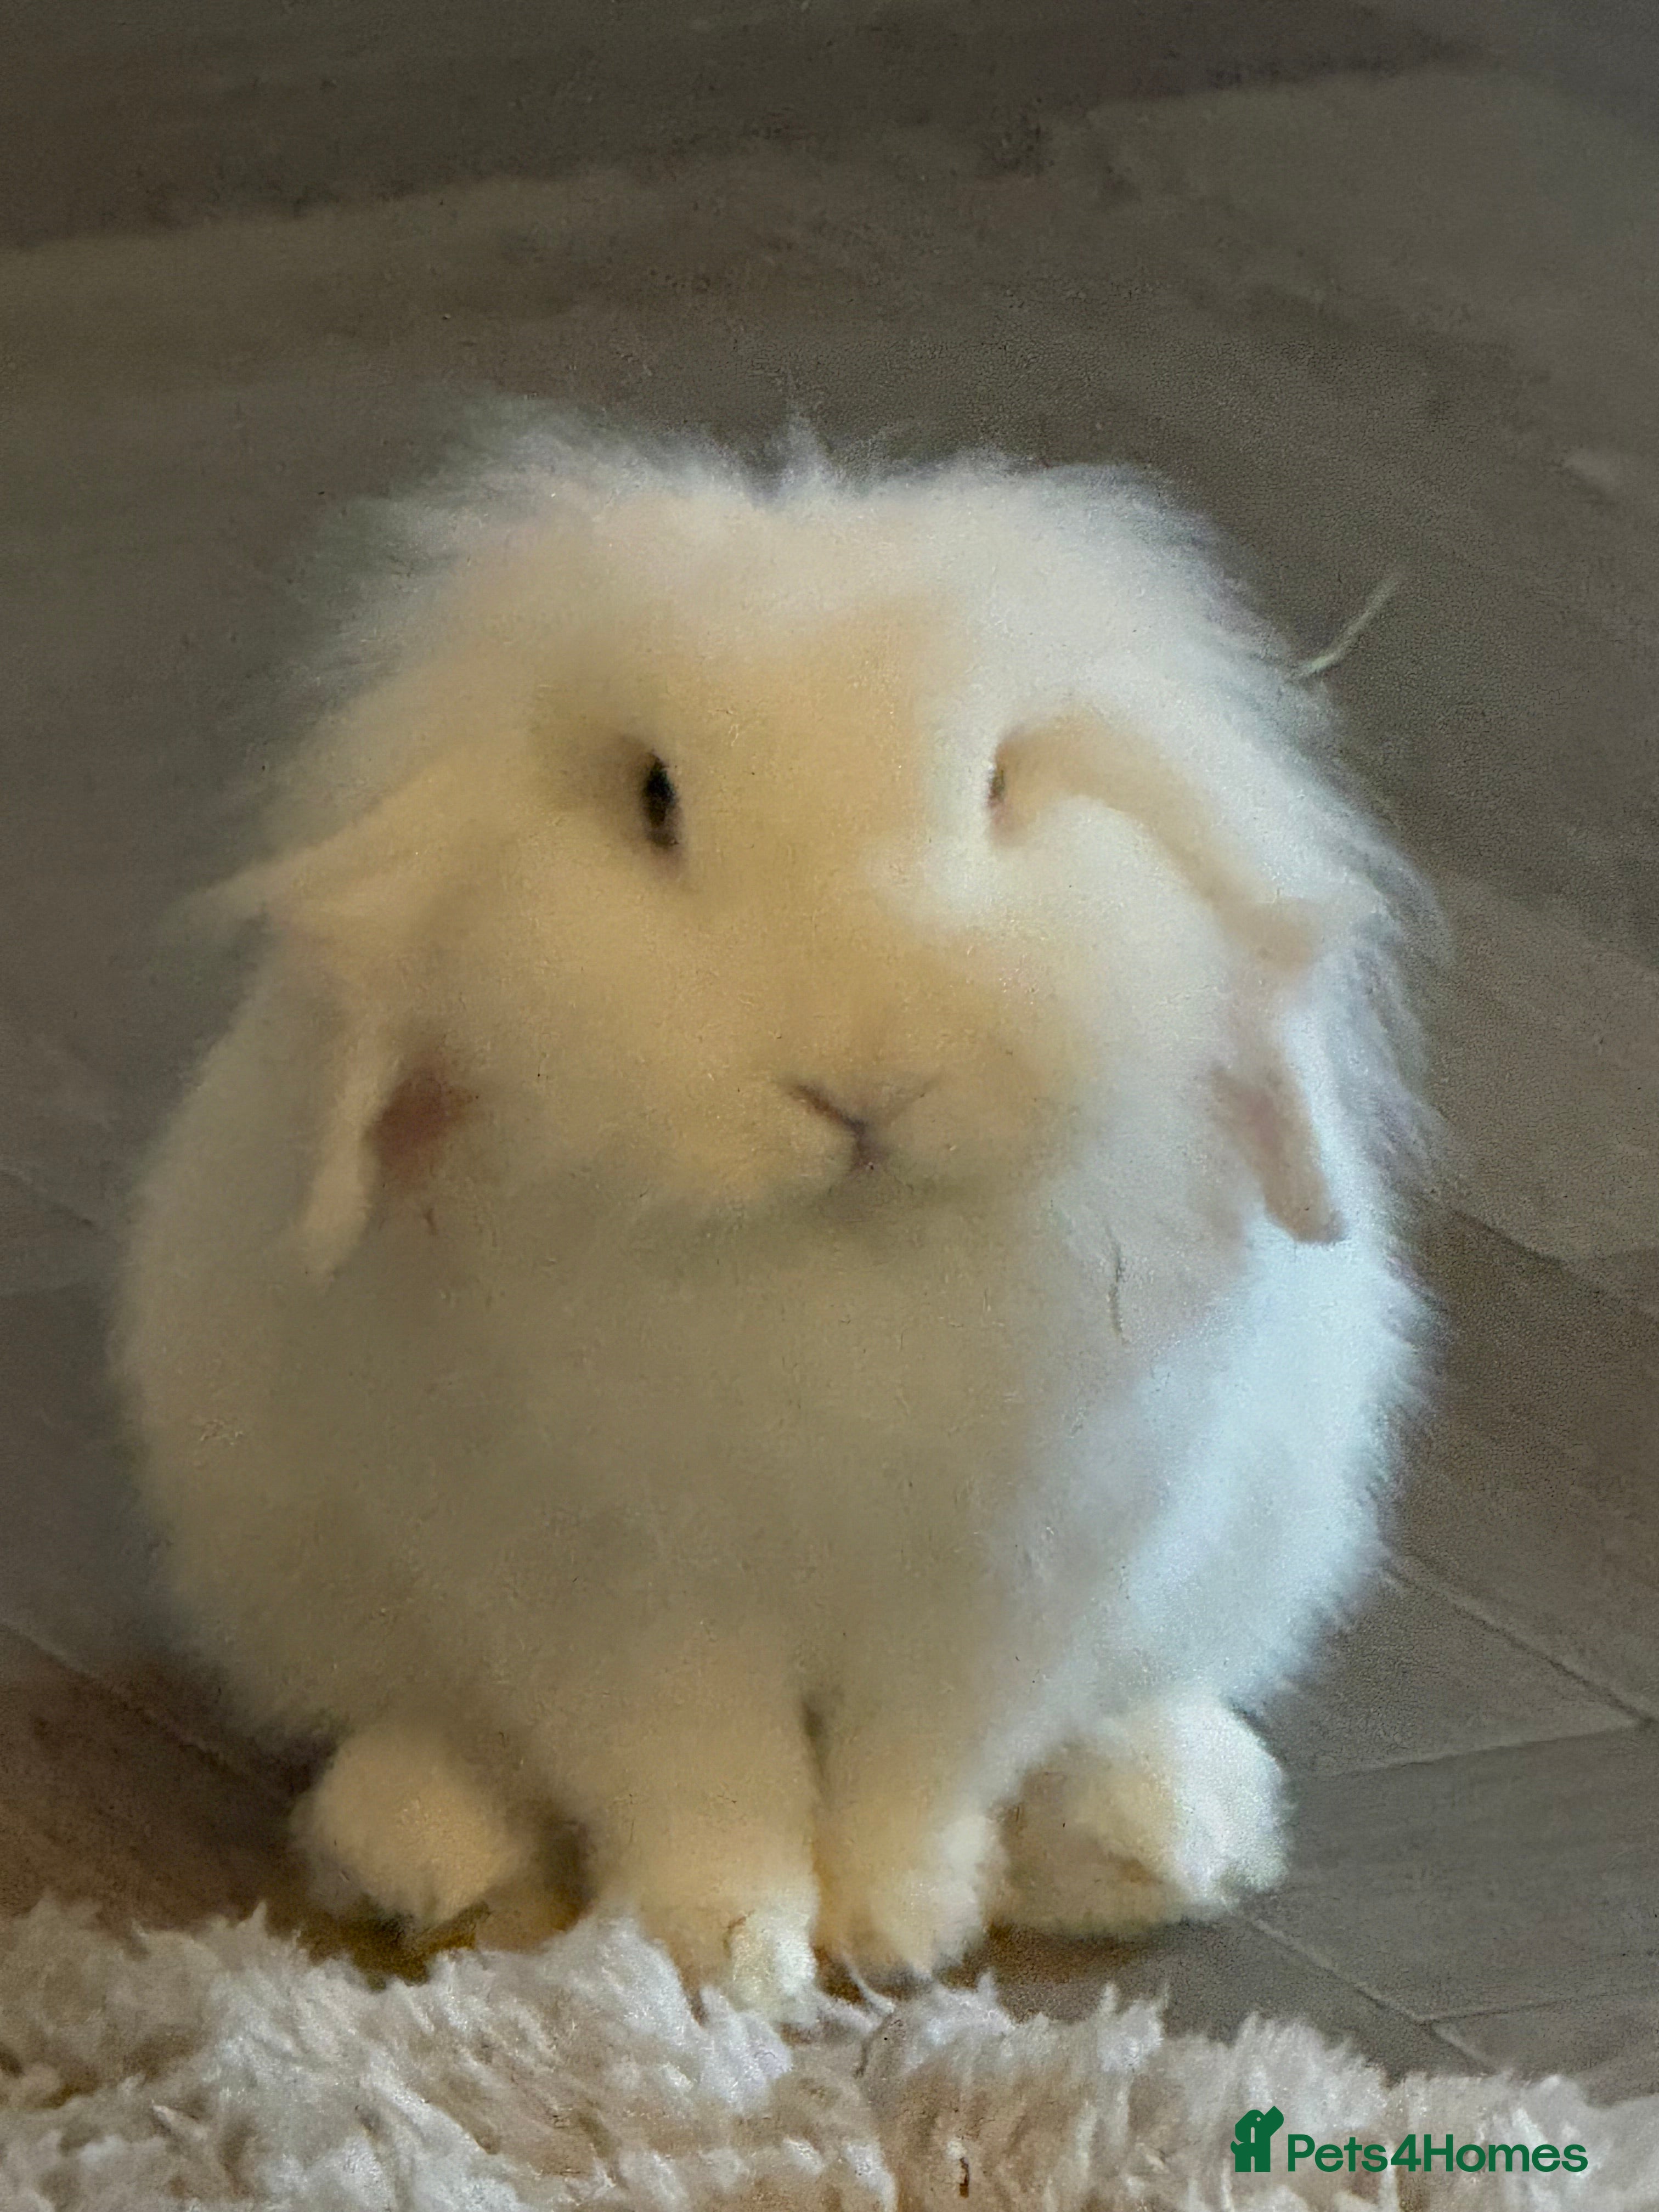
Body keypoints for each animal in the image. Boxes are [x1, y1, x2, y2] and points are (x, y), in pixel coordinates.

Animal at [117, 424, 1430, 2019]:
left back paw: (1156, 1829)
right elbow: (692, 1775)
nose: (861, 1083)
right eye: (655, 799)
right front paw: (726, 1955)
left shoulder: (1008, 1573)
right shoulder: (614, 1582)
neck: (837, 1263)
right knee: (418, 1727)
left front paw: (896, 1930)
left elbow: (921, 1766)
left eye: (998, 784)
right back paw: (432, 1855)